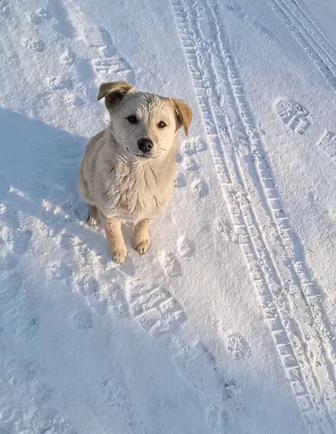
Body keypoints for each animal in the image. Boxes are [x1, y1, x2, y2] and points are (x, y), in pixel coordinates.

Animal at [79, 82, 193, 264]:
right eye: (132, 118)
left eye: (162, 124)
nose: (145, 144)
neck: (139, 174)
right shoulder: (110, 213)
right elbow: (114, 234)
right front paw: (118, 252)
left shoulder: (152, 209)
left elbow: (142, 224)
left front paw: (141, 241)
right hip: (85, 183)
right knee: (92, 202)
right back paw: (94, 216)